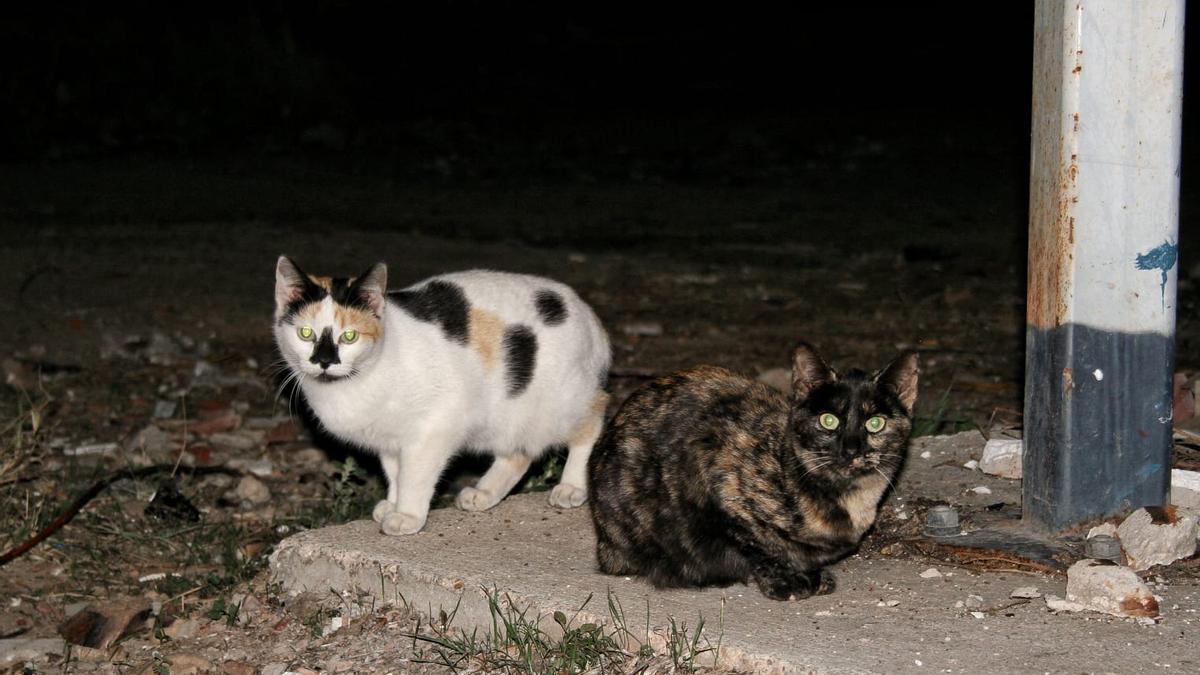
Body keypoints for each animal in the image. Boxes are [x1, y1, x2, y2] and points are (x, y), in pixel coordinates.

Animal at [272, 254, 609, 533]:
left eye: (350, 336)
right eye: (305, 334)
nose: (324, 361)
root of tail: (589, 315)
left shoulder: (433, 430)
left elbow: (414, 475)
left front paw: (407, 515)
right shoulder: (390, 439)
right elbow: (395, 473)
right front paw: (392, 504)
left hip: (562, 404)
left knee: (594, 420)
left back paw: (572, 486)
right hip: (508, 416)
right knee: (518, 453)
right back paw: (484, 493)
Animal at [588, 341, 916, 598]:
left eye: (875, 423)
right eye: (828, 420)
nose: (850, 450)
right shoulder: (713, 470)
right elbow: (755, 543)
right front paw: (787, 581)